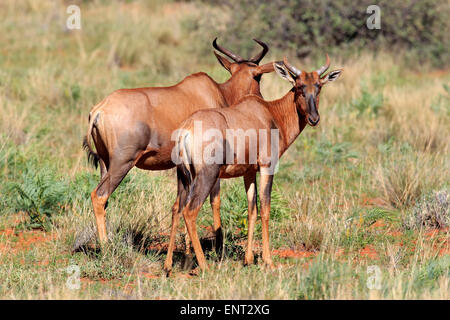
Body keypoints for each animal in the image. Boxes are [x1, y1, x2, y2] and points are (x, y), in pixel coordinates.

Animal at [82, 38, 276, 254]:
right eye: (259, 77)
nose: (261, 100)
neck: (216, 92)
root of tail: (99, 110)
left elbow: (182, 203)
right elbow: (214, 200)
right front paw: (217, 246)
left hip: (105, 163)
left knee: (103, 198)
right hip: (122, 163)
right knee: (99, 196)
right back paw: (106, 246)